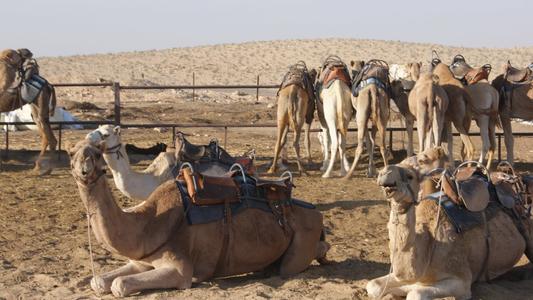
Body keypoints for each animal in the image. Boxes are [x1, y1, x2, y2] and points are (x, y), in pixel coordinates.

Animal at [69, 141, 330, 298]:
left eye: (95, 154)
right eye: (73, 155)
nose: (84, 169)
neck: (148, 225)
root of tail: (316, 211)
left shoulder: (180, 269)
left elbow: (119, 285)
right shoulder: (142, 261)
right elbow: (99, 281)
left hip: (301, 240)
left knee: (295, 263)